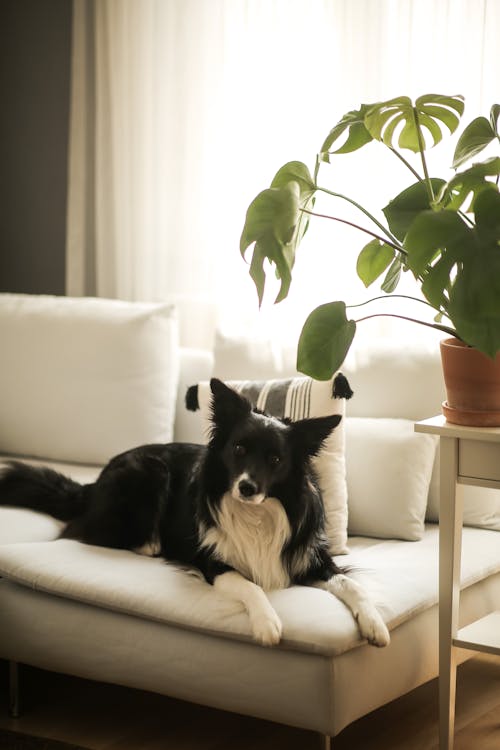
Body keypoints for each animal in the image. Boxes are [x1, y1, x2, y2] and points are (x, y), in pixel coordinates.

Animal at [0, 378, 388, 648]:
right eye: (238, 449)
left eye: (276, 459)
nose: (246, 488)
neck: (256, 515)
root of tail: (92, 484)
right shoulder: (211, 561)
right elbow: (250, 585)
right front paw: (267, 624)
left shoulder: (310, 558)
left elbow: (352, 585)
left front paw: (375, 624)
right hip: (150, 470)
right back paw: (152, 545)